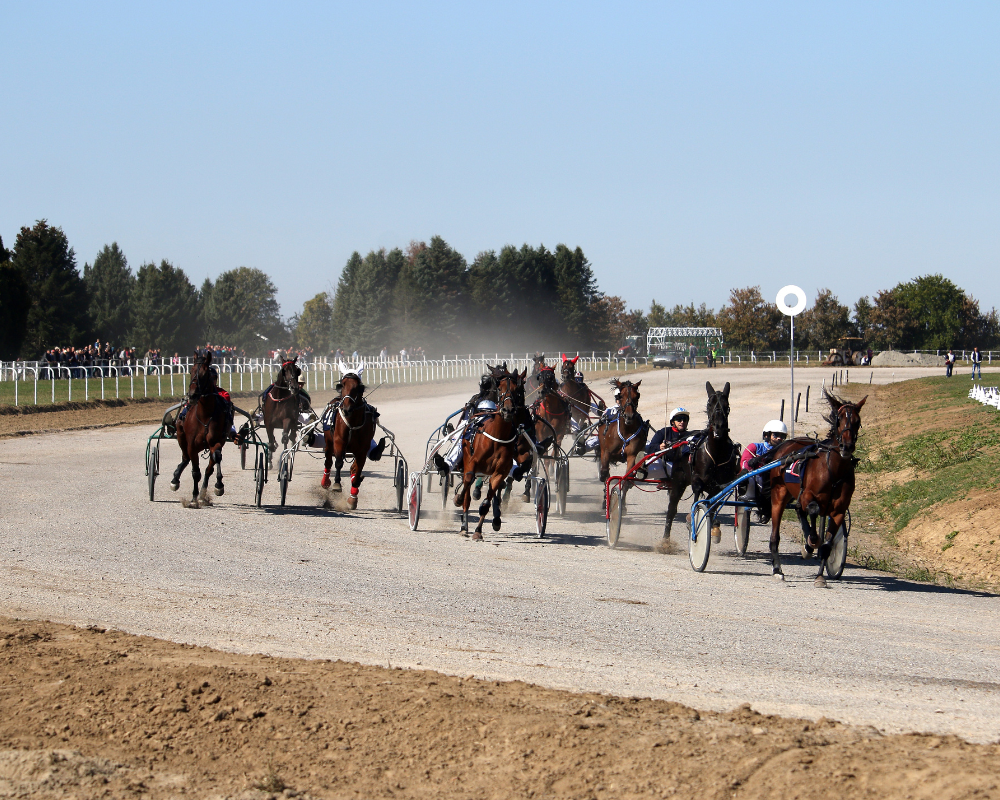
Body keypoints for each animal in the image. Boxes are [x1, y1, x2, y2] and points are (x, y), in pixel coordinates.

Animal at [171, 352, 229, 506]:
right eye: (190, 371)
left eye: (204, 374)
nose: (192, 395)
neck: (205, 415)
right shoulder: (191, 445)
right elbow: (195, 472)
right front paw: (193, 498)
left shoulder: (217, 441)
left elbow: (215, 459)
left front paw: (218, 485)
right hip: (181, 435)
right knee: (185, 457)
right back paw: (175, 479)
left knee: (210, 466)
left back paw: (203, 493)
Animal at [322, 368, 376, 510]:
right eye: (342, 384)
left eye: (358, 387)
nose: (347, 408)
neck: (353, 423)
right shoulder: (339, 442)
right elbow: (338, 463)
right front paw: (336, 484)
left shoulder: (362, 450)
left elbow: (358, 470)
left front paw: (353, 499)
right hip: (329, 441)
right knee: (328, 460)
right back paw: (325, 481)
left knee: (353, 468)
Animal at [456, 366, 528, 540]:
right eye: (500, 388)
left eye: (517, 390)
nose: (508, 410)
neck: (498, 436)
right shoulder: (473, 463)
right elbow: (467, 483)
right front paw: (459, 499)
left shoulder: (499, 472)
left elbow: (487, 503)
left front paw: (478, 531)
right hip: (467, 459)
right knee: (467, 490)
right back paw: (463, 524)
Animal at [660, 382, 740, 544]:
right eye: (709, 404)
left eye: (727, 405)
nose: (718, 427)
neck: (716, 454)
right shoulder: (697, 479)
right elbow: (696, 498)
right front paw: (692, 521)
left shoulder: (719, 485)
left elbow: (712, 504)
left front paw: (714, 527)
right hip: (678, 480)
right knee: (672, 508)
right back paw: (665, 540)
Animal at [764, 390, 868, 584]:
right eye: (839, 419)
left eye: (857, 421)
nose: (847, 446)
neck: (833, 470)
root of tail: (785, 445)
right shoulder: (808, 495)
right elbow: (812, 510)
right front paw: (810, 543)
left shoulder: (839, 510)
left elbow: (827, 545)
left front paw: (820, 577)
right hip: (779, 494)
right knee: (776, 535)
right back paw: (778, 569)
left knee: (799, 510)